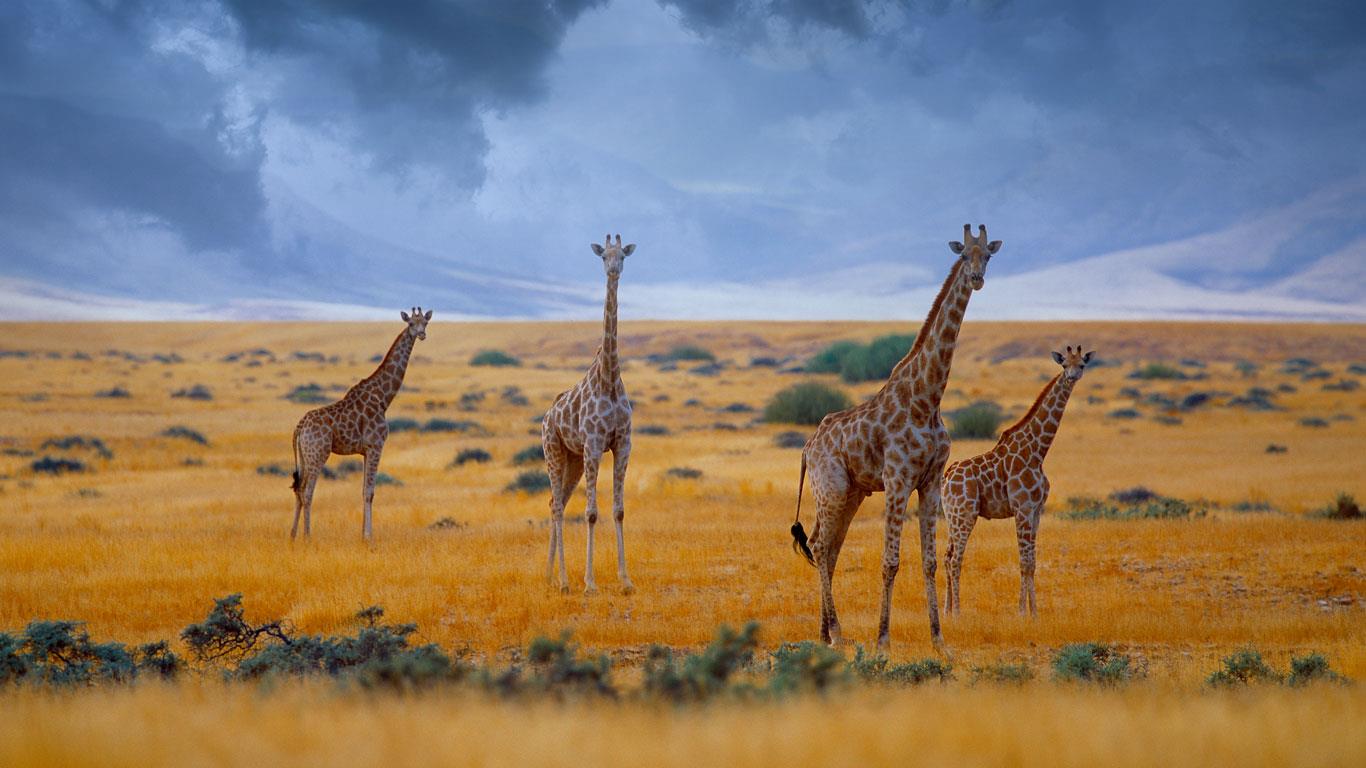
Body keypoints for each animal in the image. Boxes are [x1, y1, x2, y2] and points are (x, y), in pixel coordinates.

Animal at [289, 307, 431, 542]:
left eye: (426, 323)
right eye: (411, 323)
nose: (421, 334)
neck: (383, 398)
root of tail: (299, 427)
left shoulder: (365, 450)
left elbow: (363, 490)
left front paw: (363, 535)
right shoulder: (376, 446)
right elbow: (370, 492)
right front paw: (368, 537)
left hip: (304, 455)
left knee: (298, 489)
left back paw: (292, 536)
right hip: (318, 453)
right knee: (308, 492)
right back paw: (308, 536)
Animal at [542, 234, 636, 595]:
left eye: (622, 255)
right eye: (603, 256)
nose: (614, 270)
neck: (609, 378)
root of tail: (546, 418)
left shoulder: (622, 444)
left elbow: (618, 510)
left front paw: (626, 580)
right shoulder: (595, 445)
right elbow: (591, 513)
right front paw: (591, 583)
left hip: (573, 460)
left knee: (556, 503)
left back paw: (551, 576)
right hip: (553, 451)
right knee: (557, 506)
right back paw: (566, 581)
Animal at [790, 224, 1001, 649]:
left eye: (987, 255)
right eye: (963, 254)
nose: (977, 278)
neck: (928, 398)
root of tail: (807, 447)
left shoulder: (931, 481)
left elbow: (930, 560)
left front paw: (939, 639)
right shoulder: (898, 479)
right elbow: (890, 561)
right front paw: (883, 639)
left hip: (852, 493)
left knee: (828, 548)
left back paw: (824, 633)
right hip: (832, 487)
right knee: (820, 545)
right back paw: (837, 633)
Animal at [942, 345, 1094, 616]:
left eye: (1082, 364)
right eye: (1064, 364)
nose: (1073, 376)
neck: (1038, 451)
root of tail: (947, 477)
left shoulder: (1036, 510)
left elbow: (1032, 561)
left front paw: (1034, 613)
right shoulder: (1022, 508)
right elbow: (1023, 561)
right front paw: (1022, 612)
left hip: (952, 515)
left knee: (947, 556)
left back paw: (947, 611)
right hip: (965, 514)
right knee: (955, 558)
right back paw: (957, 613)